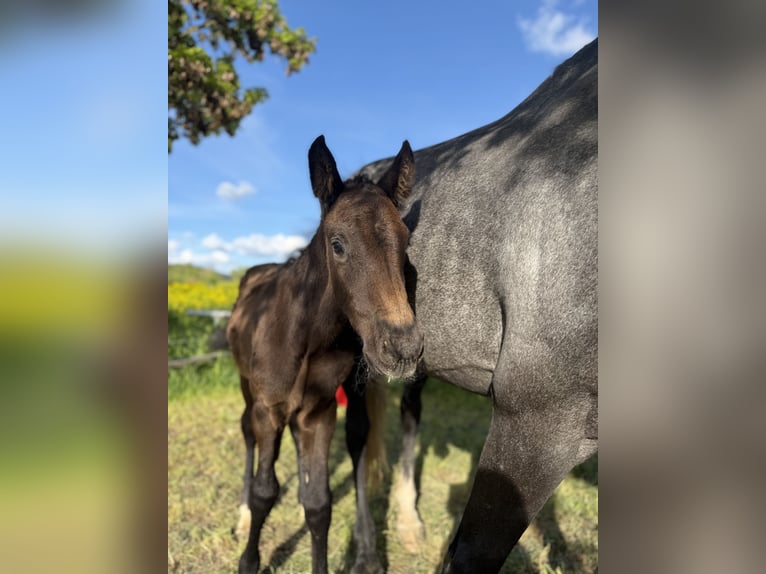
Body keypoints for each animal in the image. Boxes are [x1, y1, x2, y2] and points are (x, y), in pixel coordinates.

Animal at [226, 135, 424, 574]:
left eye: (406, 242)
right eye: (338, 245)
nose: (403, 348)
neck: (304, 336)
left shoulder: (318, 412)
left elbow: (319, 504)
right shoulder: (268, 408)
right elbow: (266, 491)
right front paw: (249, 559)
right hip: (247, 386)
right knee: (246, 432)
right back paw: (242, 513)